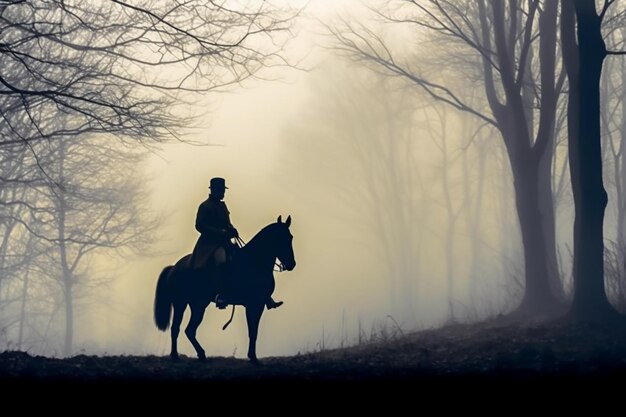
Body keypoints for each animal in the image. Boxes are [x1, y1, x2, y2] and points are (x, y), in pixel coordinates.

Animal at [153, 216, 294, 362]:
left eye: (290, 237)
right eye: (280, 238)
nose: (291, 264)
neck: (253, 262)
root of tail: (174, 267)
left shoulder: (258, 303)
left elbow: (254, 331)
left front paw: (253, 357)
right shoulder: (253, 304)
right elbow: (253, 331)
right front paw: (253, 358)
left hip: (198, 305)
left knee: (190, 330)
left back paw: (201, 355)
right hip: (180, 303)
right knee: (176, 328)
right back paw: (175, 356)